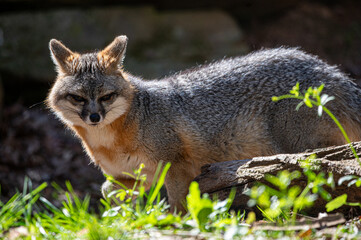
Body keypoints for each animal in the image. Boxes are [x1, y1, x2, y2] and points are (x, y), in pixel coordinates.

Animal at [46, 35, 360, 212]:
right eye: (78, 98)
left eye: (106, 97)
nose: (94, 117)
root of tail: (327, 68)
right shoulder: (135, 177)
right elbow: (107, 190)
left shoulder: (176, 168)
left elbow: (178, 206)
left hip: (298, 151)